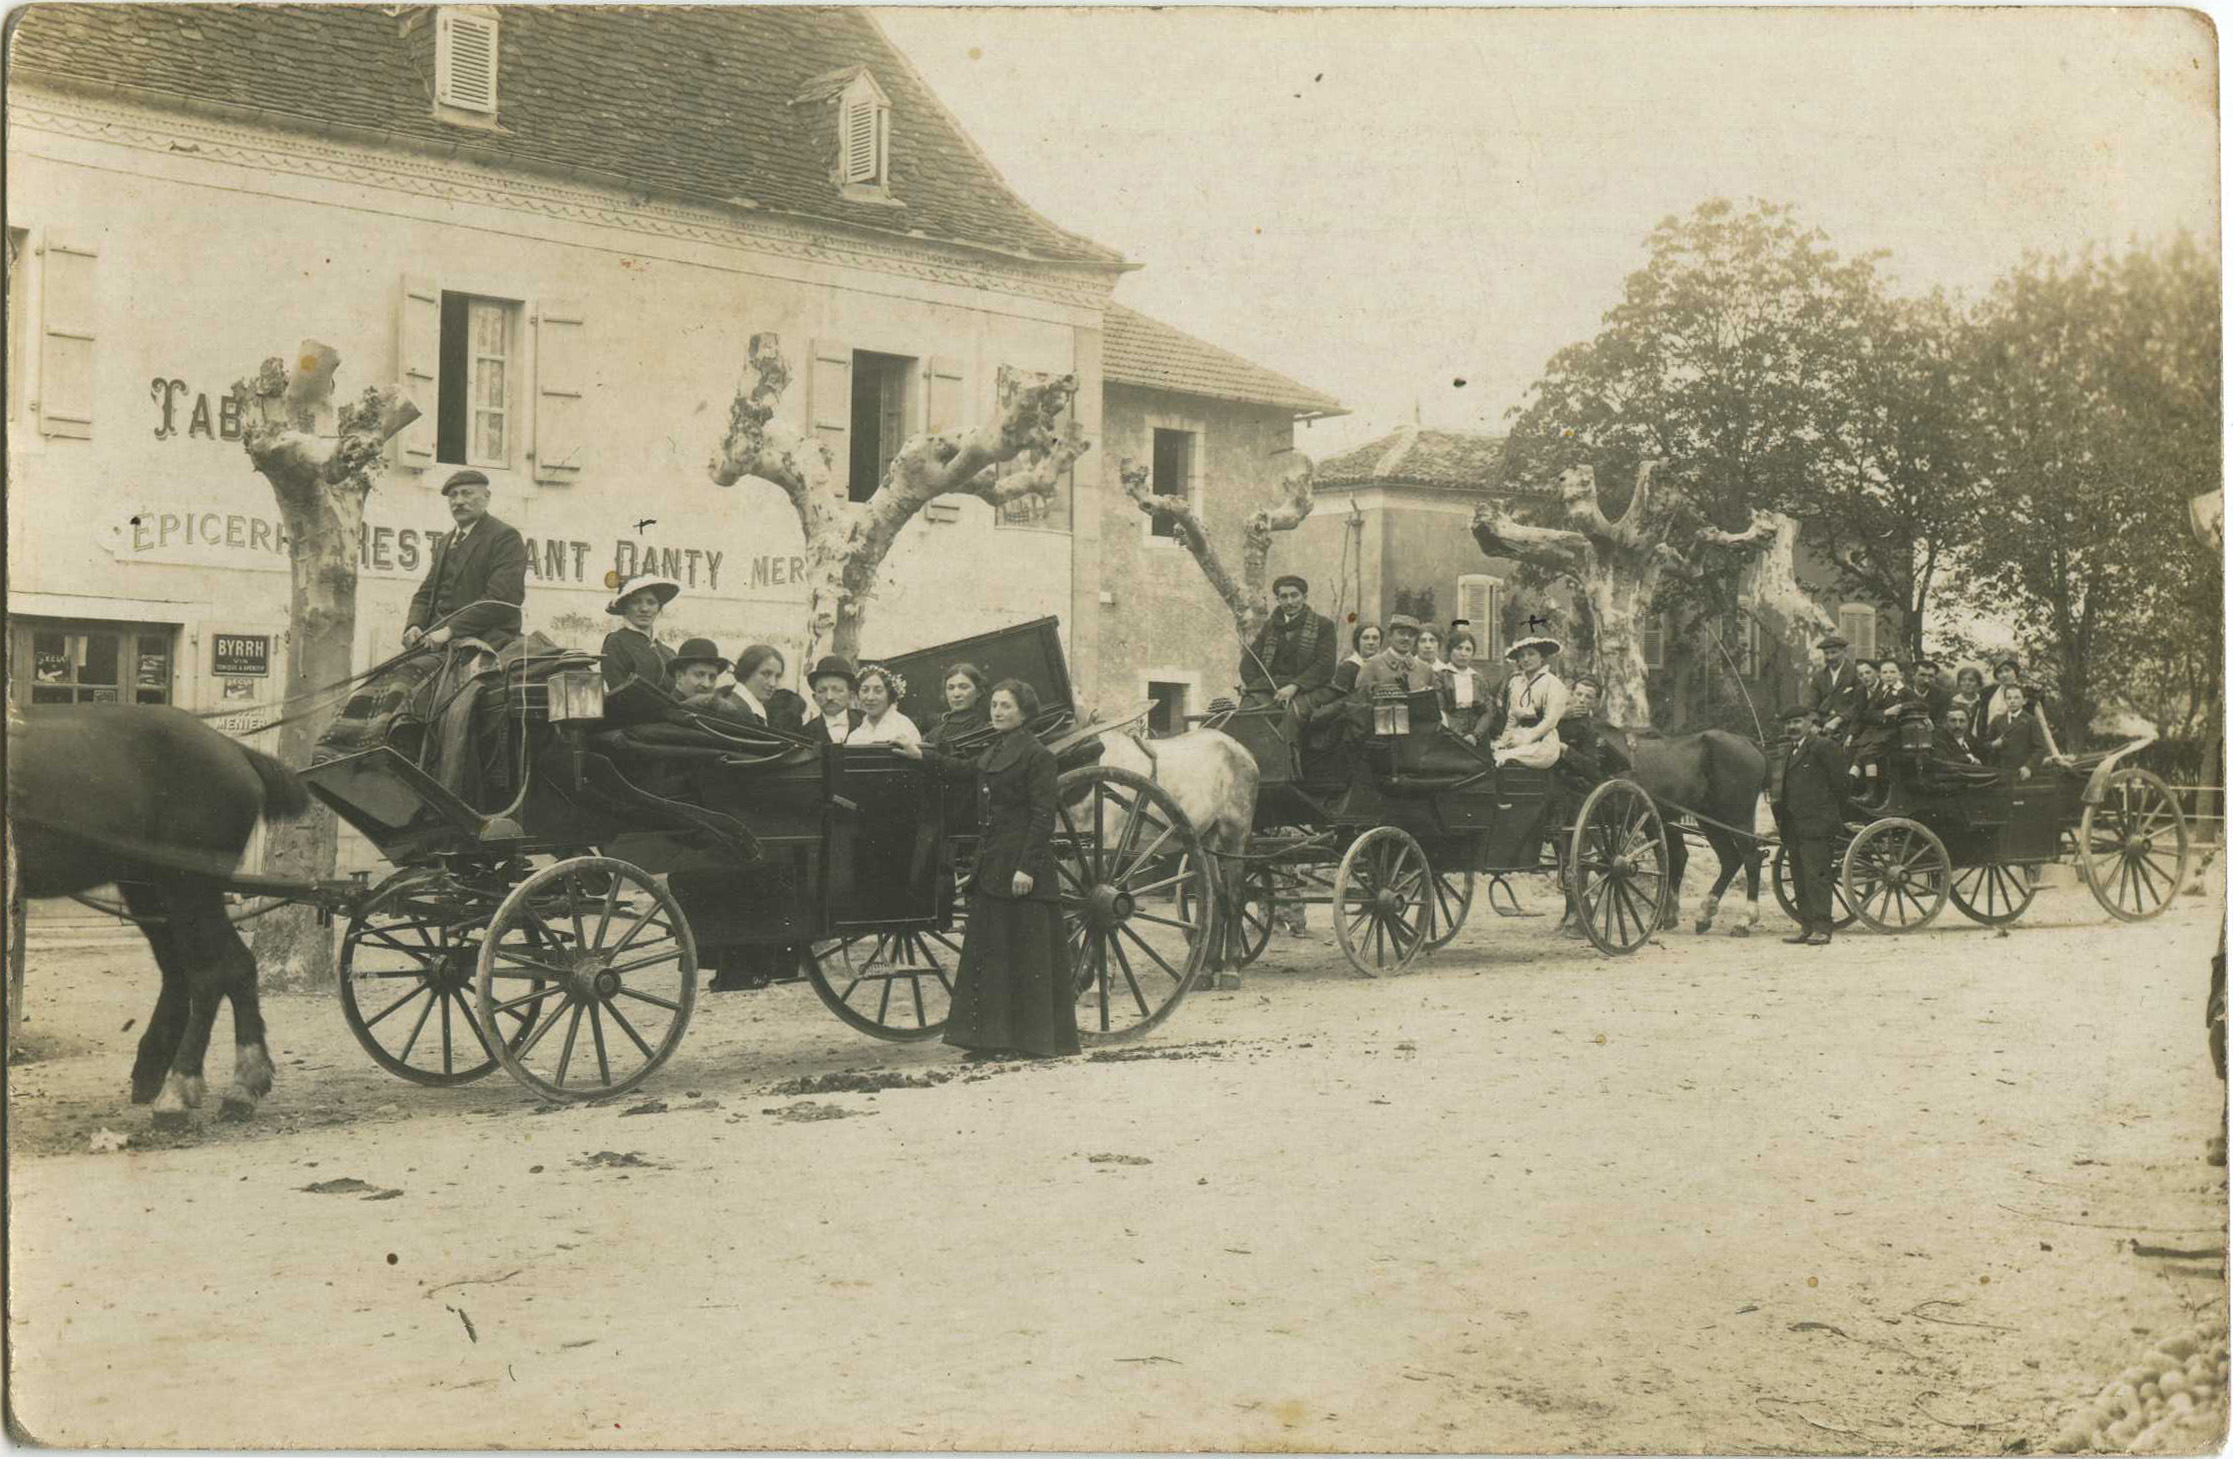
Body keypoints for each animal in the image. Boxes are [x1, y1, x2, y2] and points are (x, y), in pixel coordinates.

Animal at [9, 706, 310, 1126]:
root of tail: (231, 748)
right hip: (150, 891)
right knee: (206, 969)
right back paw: (230, 1083)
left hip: (188, 887)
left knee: (214, 971)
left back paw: (182, 1088)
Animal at [1598, 728, 1768, 933]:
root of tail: (1748, 741)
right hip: (1709, 821)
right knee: (1729, 859)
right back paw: (1702, 914)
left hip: (1737, 818)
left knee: (1752, 858)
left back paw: (1745, 919)